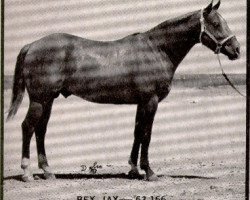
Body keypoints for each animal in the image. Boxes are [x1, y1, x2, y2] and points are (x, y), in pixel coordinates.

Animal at [6, 0, 240, 182]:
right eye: (216, 23)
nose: (236, 49)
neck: (156, 50)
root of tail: (32, 45)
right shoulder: (150, 101)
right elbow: (146, 134)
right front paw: (149, 172)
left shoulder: (141, 103)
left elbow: (137, 132)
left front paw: (133, 170)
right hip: (39, 99)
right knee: (28, 127)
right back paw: (27, 173)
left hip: (48, 100)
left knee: (40, 130)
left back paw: (48, 171)